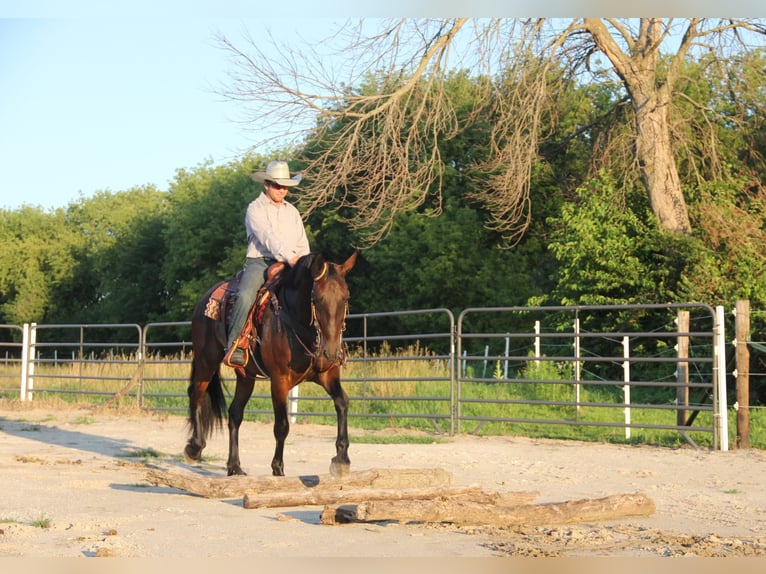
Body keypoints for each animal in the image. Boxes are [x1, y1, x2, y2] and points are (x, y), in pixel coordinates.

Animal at [184, 252, 358, 476]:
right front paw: (278, 469)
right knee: (196, 394)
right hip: (207, 360)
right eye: (317, 299)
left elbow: (342, 402)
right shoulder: (279, 381)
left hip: (246, 376)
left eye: (345, 298)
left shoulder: (327, 375)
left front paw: (342, 459)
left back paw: (235, 466)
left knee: (234, 414)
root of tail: (205, 298)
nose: (331, 353)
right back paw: (194, 447)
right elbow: (282, 426)